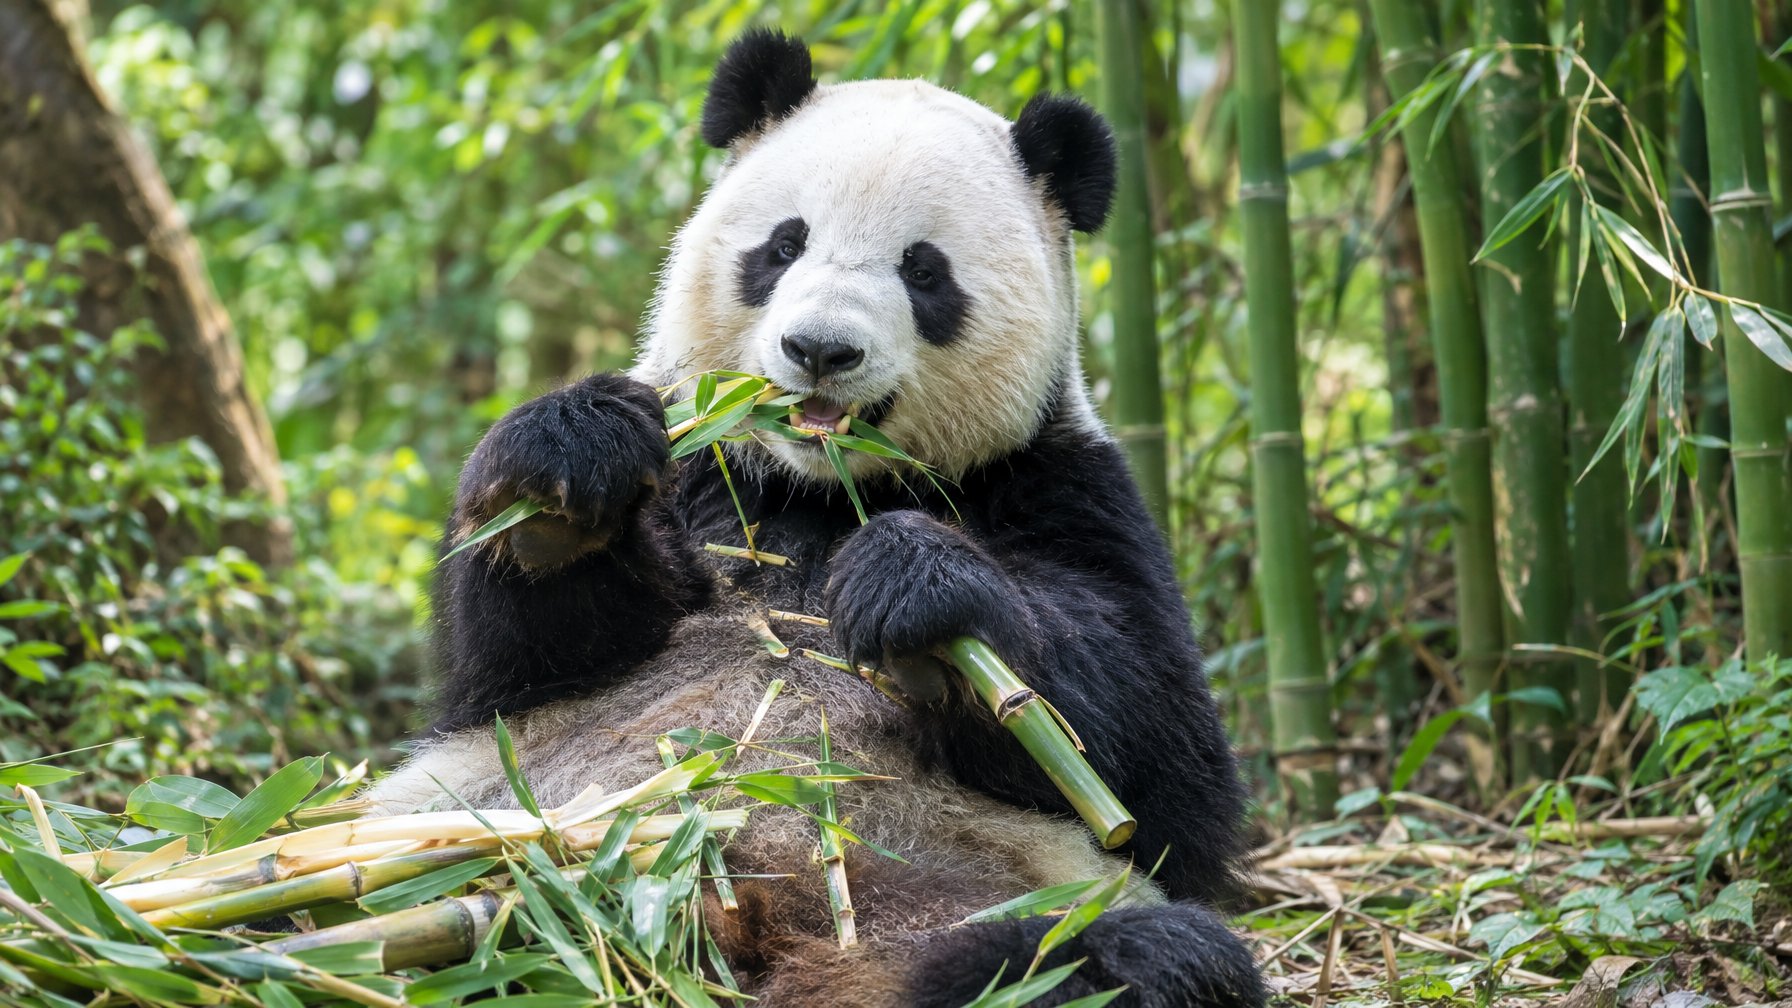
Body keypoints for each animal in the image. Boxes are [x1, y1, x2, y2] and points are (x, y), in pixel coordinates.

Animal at [367, 30, 1264, 1008]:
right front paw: (565, 480)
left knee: (1116, 954)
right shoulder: (701, 470)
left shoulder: (1062, 484)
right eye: (784, 244)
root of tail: (703, 913)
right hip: (460, 841)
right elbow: (510, 672)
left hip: (948, 887)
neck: (820, 489)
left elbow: (1168, 771)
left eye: (924, 270)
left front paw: (912, 587)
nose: (820, 350)